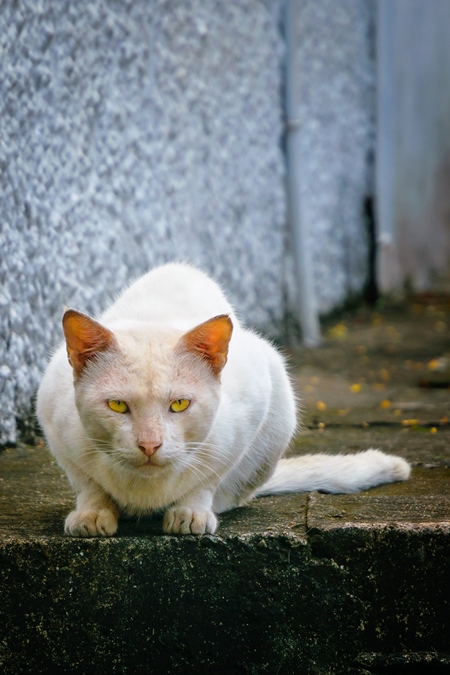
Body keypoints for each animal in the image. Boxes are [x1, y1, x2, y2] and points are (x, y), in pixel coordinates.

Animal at [37, 264, 412, 540]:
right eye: (117, 406)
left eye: (179, 404)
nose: (149, 445)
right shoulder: (53, 418)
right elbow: (87, 481)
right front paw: (92, 512)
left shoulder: (249, 406)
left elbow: (207, 479)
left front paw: (190, 512)